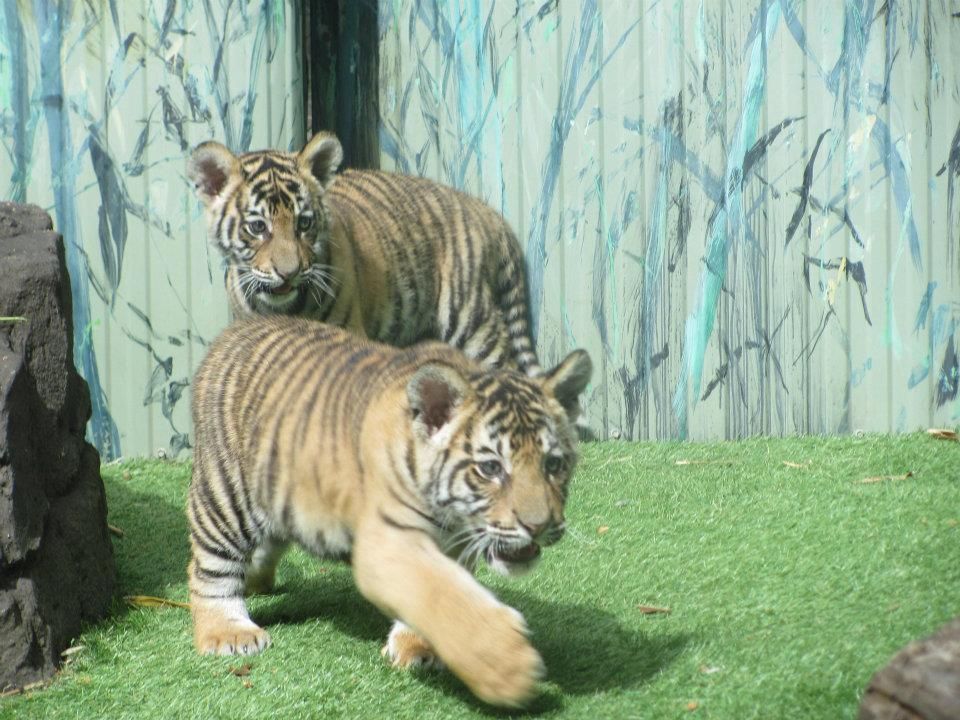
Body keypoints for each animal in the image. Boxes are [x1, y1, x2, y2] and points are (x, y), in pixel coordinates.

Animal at [187, 316, 592, 707]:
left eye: (553, 464)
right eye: (491, 468)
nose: (538, 526)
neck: (453, 521)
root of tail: (241, 326)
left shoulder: (455, 549)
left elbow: (448, 592)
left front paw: (419, 647)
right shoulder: (389, 541)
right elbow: (439, 593)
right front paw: (505, 665)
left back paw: (257, 581)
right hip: (225, 496)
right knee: (210, 567)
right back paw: (229, 631)